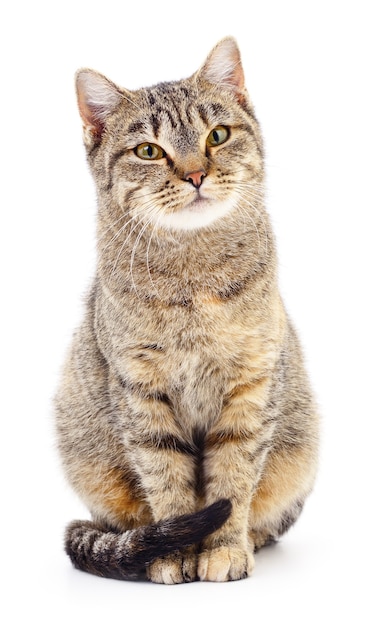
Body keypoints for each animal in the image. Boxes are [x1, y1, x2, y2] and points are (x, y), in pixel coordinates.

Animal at [54, 36, 320, 584]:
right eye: (148, 151)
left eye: (217, 136)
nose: (197, 174)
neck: (193, 278)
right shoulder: (141, 392)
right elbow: (167, 482)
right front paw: (174, 553)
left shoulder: (250, 386)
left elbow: (233, 480)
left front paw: (223, 548)